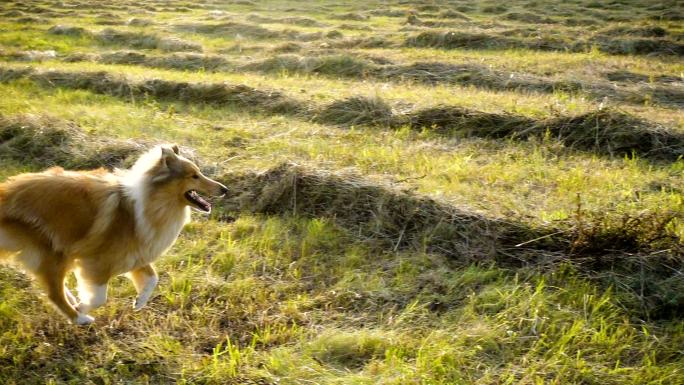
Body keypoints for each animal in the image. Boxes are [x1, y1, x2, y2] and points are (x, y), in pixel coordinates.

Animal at [0, 146, 230, 322]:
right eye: (194, 176)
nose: (225, 189)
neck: (153, 202)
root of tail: (5, 194)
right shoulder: (98, 262)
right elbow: (99, 297)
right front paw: (83, 306)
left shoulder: (136, 253)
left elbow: (153, 278)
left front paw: (139, 302)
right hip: (51, 250)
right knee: (53, 293)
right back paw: (79, 317)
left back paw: (73, 304)